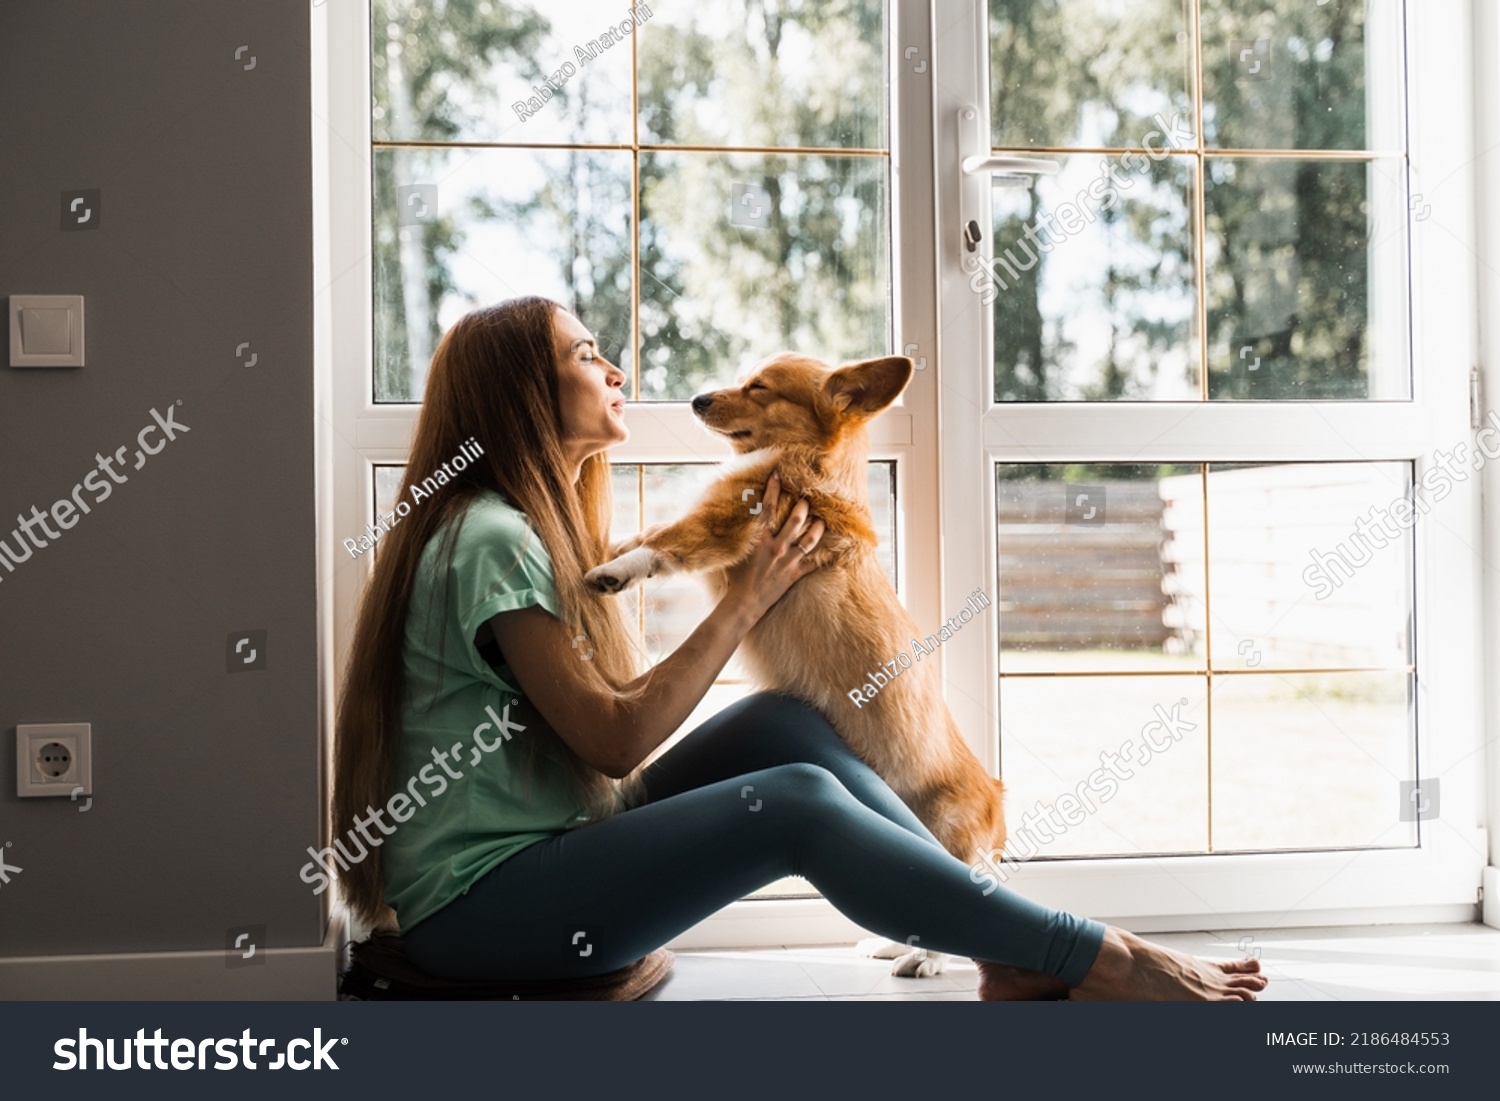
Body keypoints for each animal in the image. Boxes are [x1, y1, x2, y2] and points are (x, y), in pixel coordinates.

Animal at [585, 351, 1008, 972]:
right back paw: (889, 946)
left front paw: (612, 573)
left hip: (945, 831)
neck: (804, 461)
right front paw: (596, 551)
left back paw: (926, 960)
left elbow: (662, 541)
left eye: (759, 388)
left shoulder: (724, 522)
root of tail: (996, 807)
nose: (697, 400)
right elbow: (637, 534)